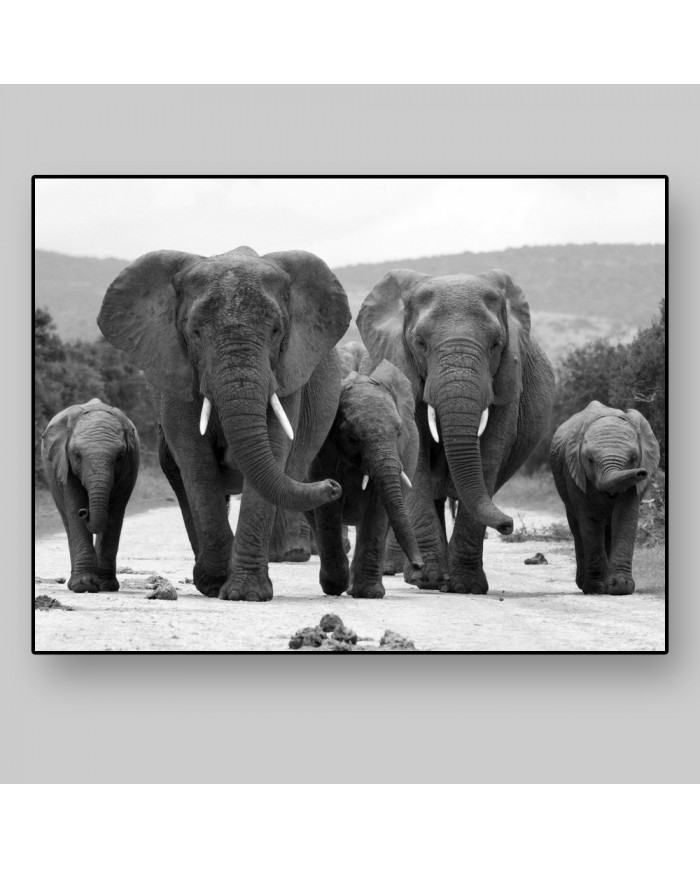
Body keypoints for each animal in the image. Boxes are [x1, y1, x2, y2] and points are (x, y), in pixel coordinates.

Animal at [41, 398, 140, 593]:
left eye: (120, 456)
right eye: (77, 455)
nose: (84, 512)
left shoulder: (129, 466)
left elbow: (115, 512)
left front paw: (106, 585)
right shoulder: (64, 463)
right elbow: (73, 507)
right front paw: (84, 585)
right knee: (67, 519)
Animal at [98, 246, 351, 602]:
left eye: (276, 331)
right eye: (195, 332)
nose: (333, 486)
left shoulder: (286, 371)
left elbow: (274, 449)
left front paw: (246, 593)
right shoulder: (177, 370)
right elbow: (196, 461)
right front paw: (218, 584)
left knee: (292, 473)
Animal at [308, 357, 423, 598]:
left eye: (399, 432)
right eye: (353, 438)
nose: (419, 565)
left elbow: (377, 507)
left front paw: (368, 593)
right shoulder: (323, 450)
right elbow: (328, 505)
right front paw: (336, 587)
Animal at [357, 267, 555, 594]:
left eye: (496, 344)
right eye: (420, 343)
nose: (508, 525)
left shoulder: (506, 384)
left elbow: (489, 456)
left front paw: (466, 586)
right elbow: (418, 458)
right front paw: (429, 580)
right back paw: (421, 575)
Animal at [549, 400, 660, 595]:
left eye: (634, 458)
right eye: (590, 459)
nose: (642, 473)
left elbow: (625, 517)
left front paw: (620, 587)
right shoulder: (575, 474)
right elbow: (590, 520)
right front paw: (597, 588)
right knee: (578, 528)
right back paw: (584, 585)